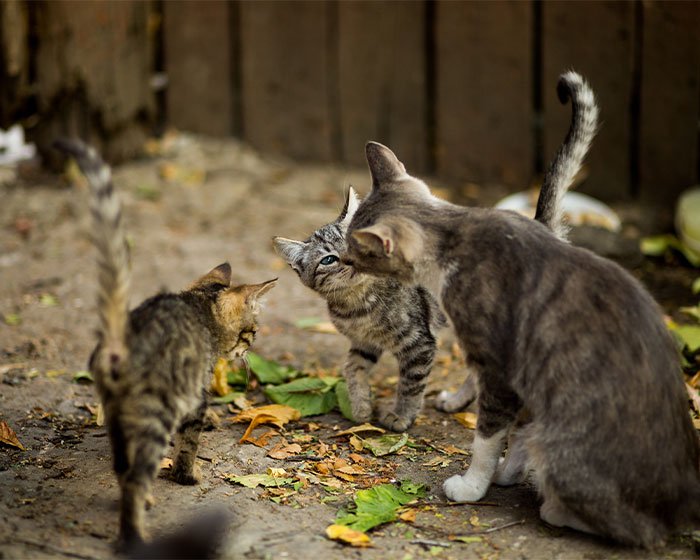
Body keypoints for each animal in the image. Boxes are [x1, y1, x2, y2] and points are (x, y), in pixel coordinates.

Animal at [54, 139, 276, 552]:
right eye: (252, 332)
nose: (248, 351)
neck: (199, 306)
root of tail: (121, 338)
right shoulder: (195, 395)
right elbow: (189, 443)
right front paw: (187, 475)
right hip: (156, 411)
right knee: (135, 476)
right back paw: (135, 536)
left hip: (117, 413)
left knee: (123, 467)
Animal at [272, 72, 596, 430]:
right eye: (328, 259)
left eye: (357, 243)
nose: (350, 260)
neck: (357, 304)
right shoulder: (363, 344)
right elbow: (352, 368)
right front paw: (359, 408)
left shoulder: (418, 342)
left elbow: (411, 384)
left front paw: (400, 417)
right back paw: (458, 400)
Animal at [344, 76, 700, 544]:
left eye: (354, 251)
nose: (341, 261)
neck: (454, 232)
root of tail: (680, 507)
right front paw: (502, 466)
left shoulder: (502, 366)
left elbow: (487, 437)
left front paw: (472, 485)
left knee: (624, 524)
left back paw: (549, 501)